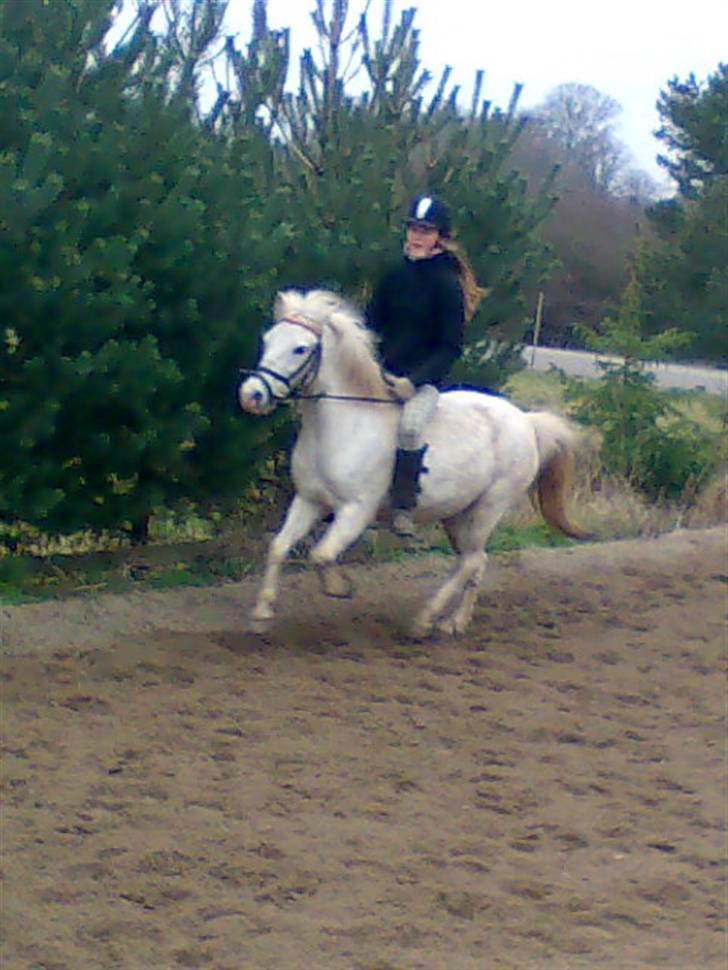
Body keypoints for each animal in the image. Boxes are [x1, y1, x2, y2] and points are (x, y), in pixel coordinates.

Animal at [239, 288, 589, 638]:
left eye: (300, 348)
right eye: (268, 339)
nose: (251, 395)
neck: (344, 423)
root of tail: (526, 421)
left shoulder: (356, 510)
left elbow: (321, 555)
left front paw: (340, 587)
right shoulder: (309, 500)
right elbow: (279, 546)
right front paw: (261, 615)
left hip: (489, 506)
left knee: (471, 561)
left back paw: (425, 621)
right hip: (458, 514)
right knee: (475, 560)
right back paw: (455, 621)